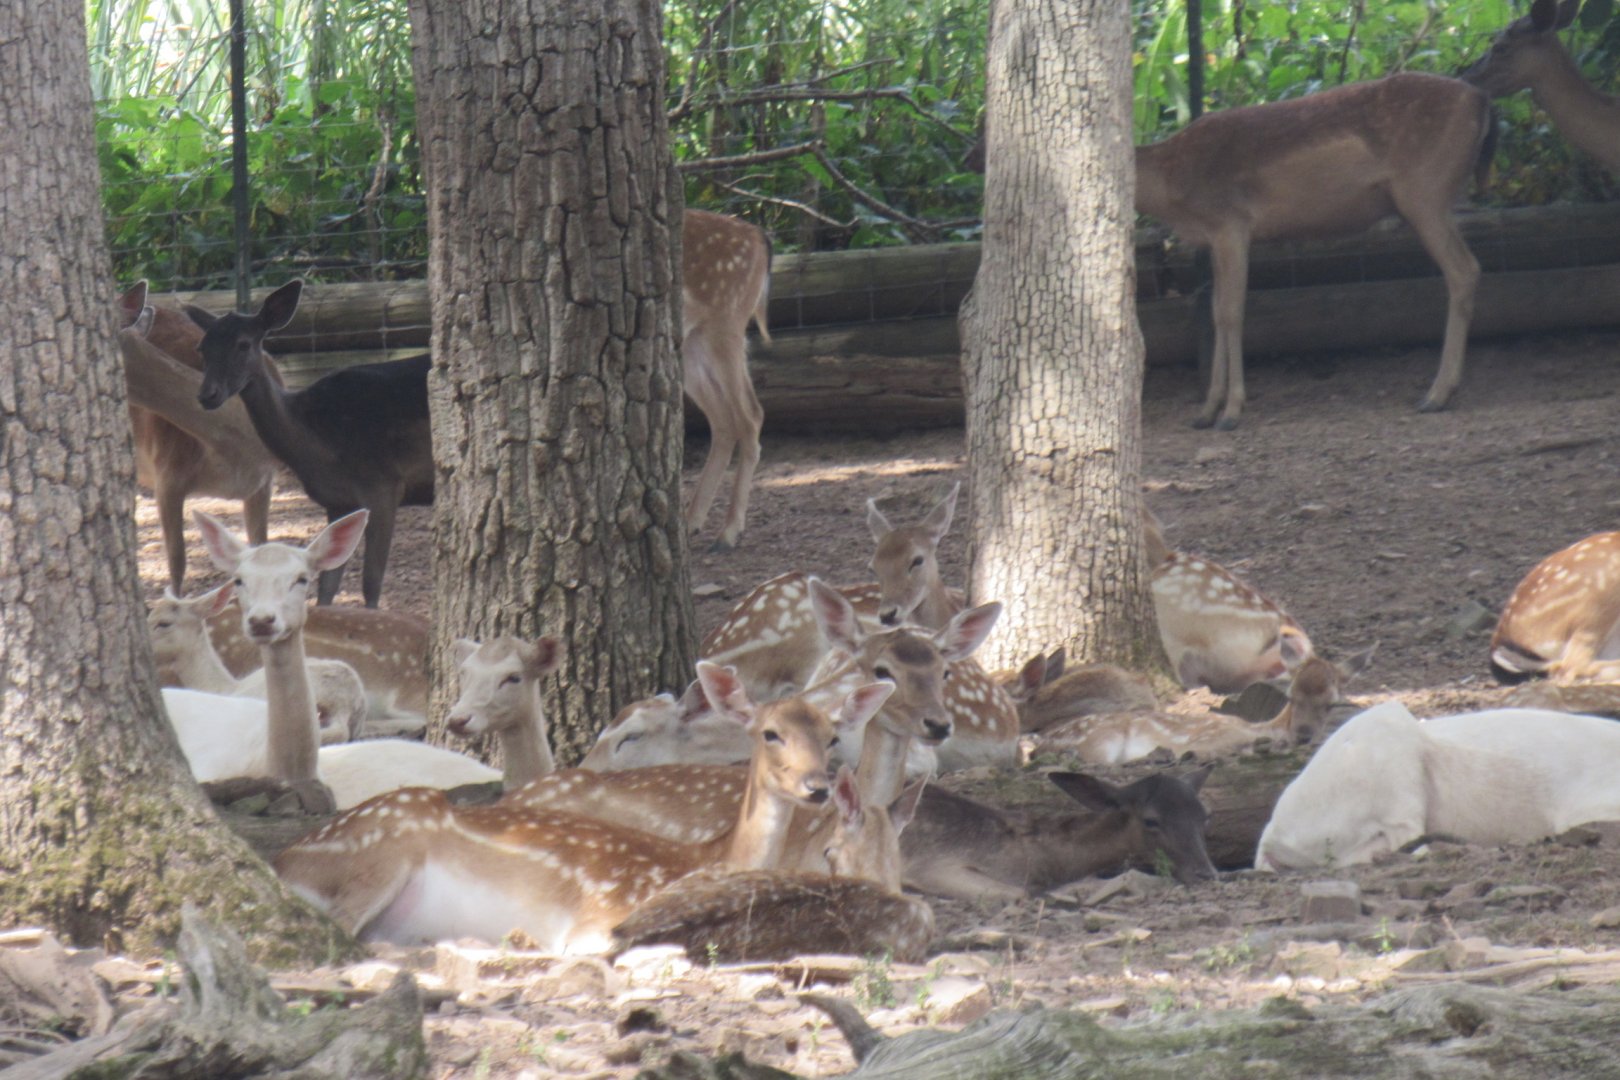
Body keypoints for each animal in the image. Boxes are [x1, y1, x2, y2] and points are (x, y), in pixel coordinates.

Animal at [185, 279, 432, 608]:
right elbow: (326, 588)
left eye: (243, 343)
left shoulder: (384, 485)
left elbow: (371, 584)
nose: (207, 395)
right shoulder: (337, 502)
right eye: (202, 348)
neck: (319, 447)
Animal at [272, 663, 885, 951]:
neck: (712, 860)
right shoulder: (600, 918)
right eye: (769, 733)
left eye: (832, 735)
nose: (817, 786)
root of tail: (284, 858)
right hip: (379, 854)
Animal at [680, 209, 773, 551]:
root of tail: (759, 235)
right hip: (692, 342)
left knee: (750, 415)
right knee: (723, 420)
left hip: (728, 318)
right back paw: (691, 522)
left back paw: (729, 532)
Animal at [1135, 72, 1493, 428]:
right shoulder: (1213, 238)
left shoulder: (1231, 223)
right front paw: (1206, 412)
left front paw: (1232, 412)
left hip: (1424, 191)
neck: (1170, 186)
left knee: (1464, 269)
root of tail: (1481, 100)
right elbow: (1215, 313)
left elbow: (1231, 312)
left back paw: (1436, 395)